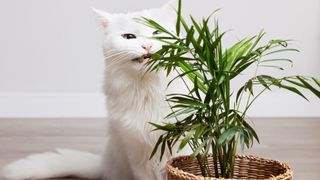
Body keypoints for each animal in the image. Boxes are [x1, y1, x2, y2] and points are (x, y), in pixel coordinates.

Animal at [1, 1, 178, 180]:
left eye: (157, 32)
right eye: (129, 37)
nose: (147, 45)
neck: (147, 90)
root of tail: (104, 163)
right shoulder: (136, 151)